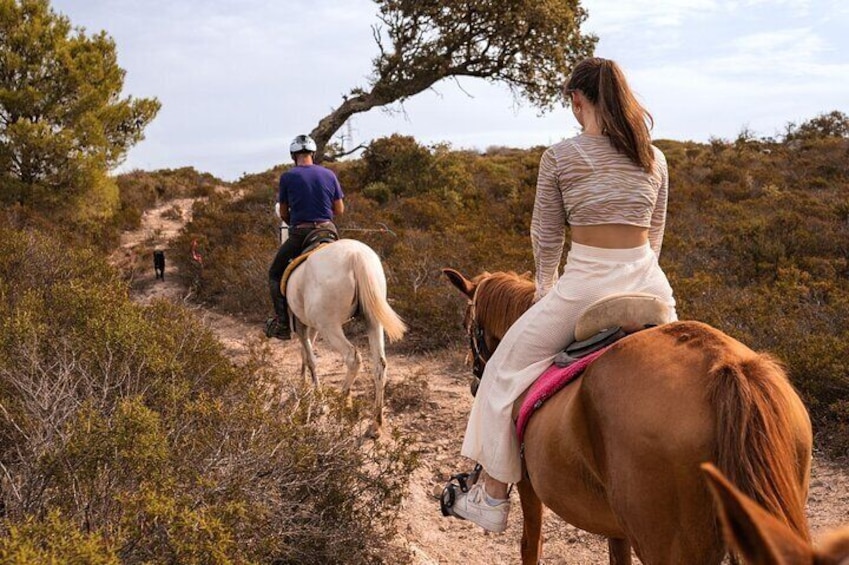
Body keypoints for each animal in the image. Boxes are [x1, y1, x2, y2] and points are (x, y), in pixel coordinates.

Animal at [284, 237, 406, 436]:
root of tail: (356, 255)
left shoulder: (302, 324)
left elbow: (310, 359)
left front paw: (317, 400)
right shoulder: (309, 326)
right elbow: (306, 355)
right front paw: (304, 387)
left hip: (330, 327)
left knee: (352, 358)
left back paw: (342, 401)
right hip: (373, 320)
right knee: (379, 364)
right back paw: (375, 424)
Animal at [440, 268, 812, 564]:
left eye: (465, 325)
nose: (475, 381)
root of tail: (725, 365)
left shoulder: (528, 485)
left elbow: (530, 544)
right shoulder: (616, 525)